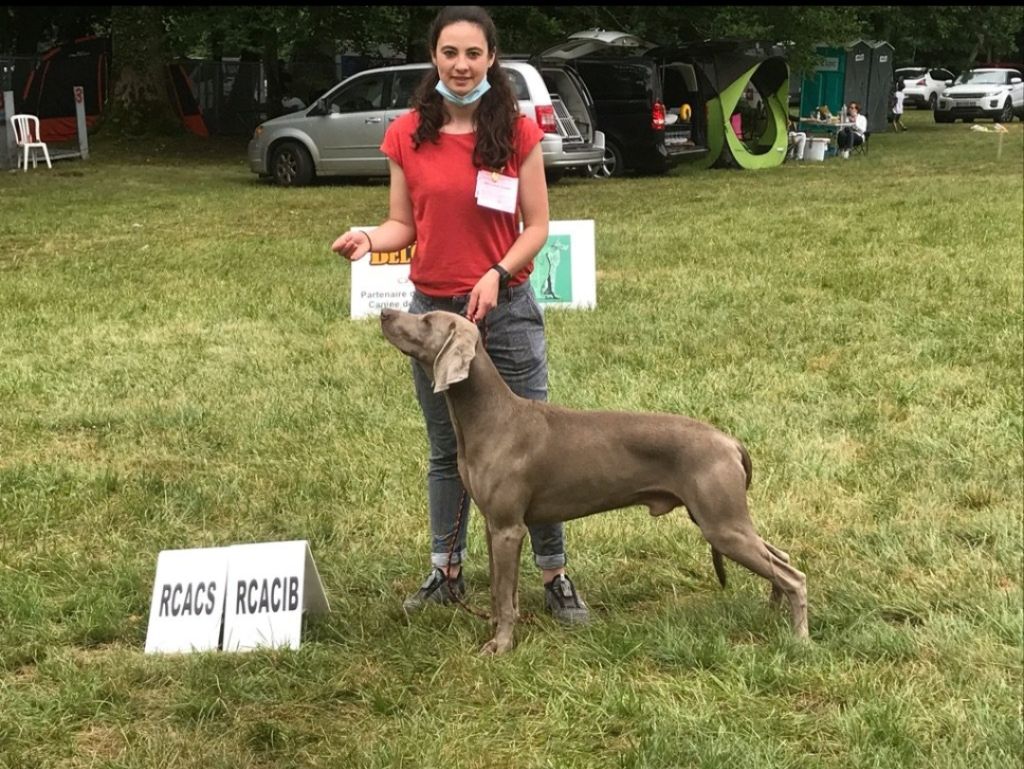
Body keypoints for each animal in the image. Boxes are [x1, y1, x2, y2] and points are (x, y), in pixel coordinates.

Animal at [380, 309, 811, 655]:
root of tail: (730, 441)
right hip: (723, 519)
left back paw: (800, 639)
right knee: (781, 559)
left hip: (721, 524)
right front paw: (499, 631)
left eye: (427, 320)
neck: (490, 416)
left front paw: (500, 646)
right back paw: (771, 611)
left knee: (794, 575)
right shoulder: (493, 525)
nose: (384, 313)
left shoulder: (509, 528)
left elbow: (503, 595)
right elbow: (504, 590)